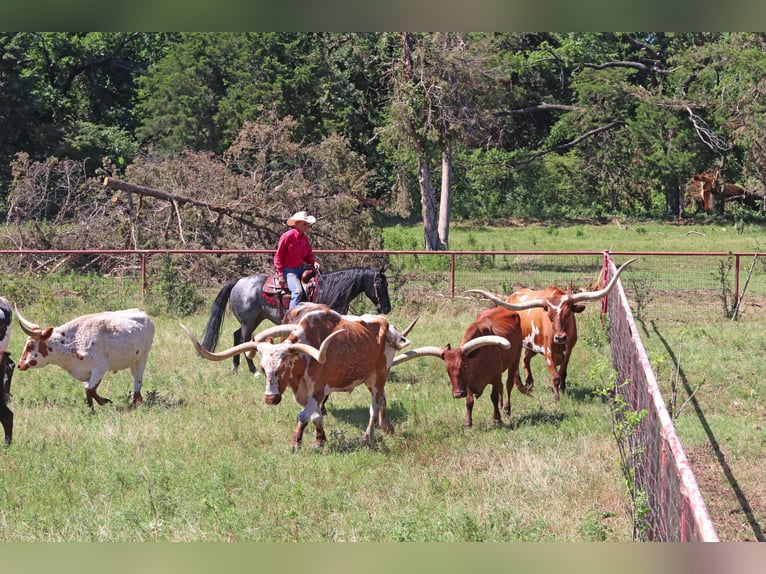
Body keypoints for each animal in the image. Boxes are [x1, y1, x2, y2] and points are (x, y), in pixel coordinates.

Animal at [15, 306, 156, 410]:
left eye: (30, 345)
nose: (19, 364)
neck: (72, 342)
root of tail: (144, 314)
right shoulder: (86, 372)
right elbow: (88, 391)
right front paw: (91, 410)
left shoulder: (100, 368)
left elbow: (90, 390)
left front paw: (105, 401)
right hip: (134, 361)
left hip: (143, 357)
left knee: (137, 381)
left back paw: (134, 404)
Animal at [201, 264, 392, 374]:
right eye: (381, 284)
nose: (387, 308)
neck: (330, 289)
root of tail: (239, 281)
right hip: (248, 322)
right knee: (244, 340)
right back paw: (253, 370)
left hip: (254, 319)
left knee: (236, 336)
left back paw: (235, 368)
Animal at [392, 310, 524, 428]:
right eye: (447, 370)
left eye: (464, 366)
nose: (457, 394)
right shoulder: (468, 383)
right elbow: (469, 402)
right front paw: (468, 423)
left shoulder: (495, 377)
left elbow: (494, 397)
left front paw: (497, 420)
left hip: (516, 357)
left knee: (508, 385)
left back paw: (507, 410)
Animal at [468, 258, 636, 402]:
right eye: (549, 316)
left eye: (568, 314)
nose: (560, 338)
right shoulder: (548, 351)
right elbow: (555, 376)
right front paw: (556, 398)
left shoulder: (569, 350)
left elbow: (563, 372)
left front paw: (563, 388)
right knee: (517, 364)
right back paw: (522, 385)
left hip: (532, 344)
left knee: (525, 358)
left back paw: (529, 382)